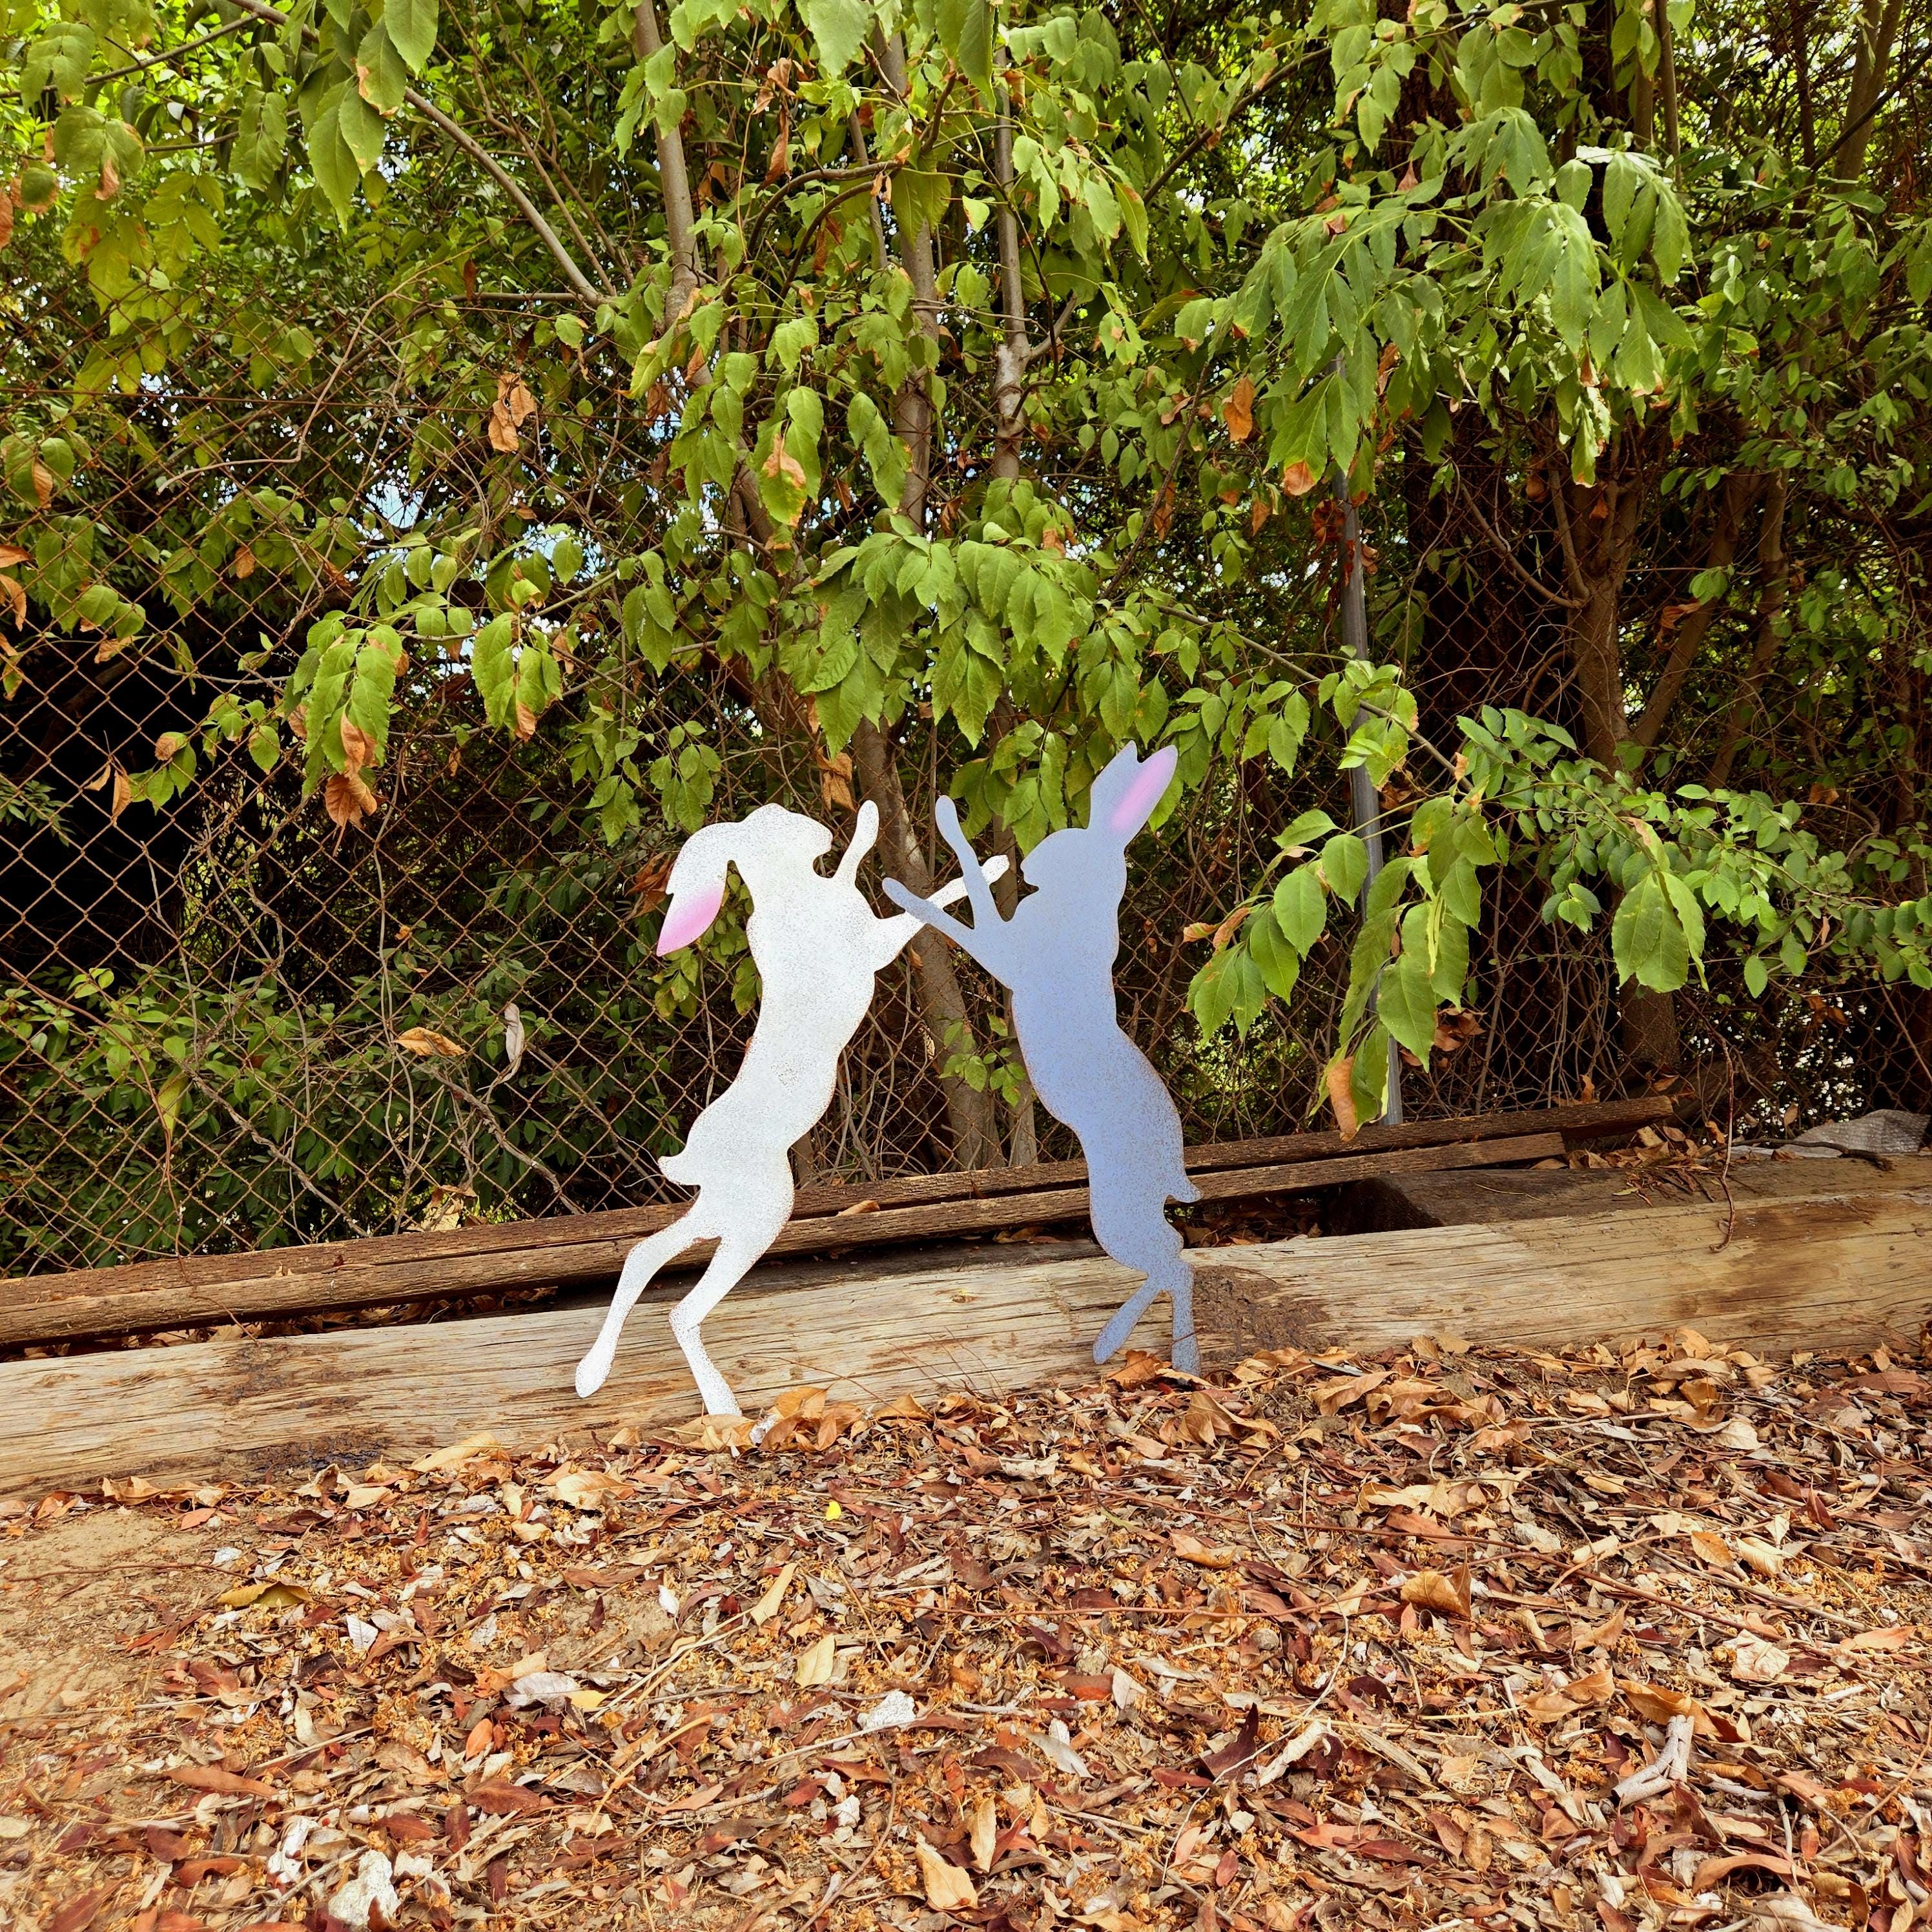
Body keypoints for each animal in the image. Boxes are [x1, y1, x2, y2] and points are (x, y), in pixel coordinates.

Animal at [575, 799, 1007, 1414]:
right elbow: (918, 905)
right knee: (682, 1308)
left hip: (723, 1213)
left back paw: (590, 1375)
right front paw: (990, 868)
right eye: (771, 824)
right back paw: (724, 1408)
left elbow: (853, 865)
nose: (819, 829)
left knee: (642, 1257)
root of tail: (693, 1158)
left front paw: (868, 818)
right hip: (761, 1219)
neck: (790, 892)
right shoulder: (872, 945)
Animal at [882, 743, 1200, 1372]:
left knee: (1174, 1259)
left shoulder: (1008, 954)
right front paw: (949, 819)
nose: (1028, 864)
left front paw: (904, 887)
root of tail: (1173, 1165)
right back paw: (1147, 1352)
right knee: (1176, 1255)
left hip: (1115, 1211)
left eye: (1068, 846)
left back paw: (1151, 1356)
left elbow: (969, 914)